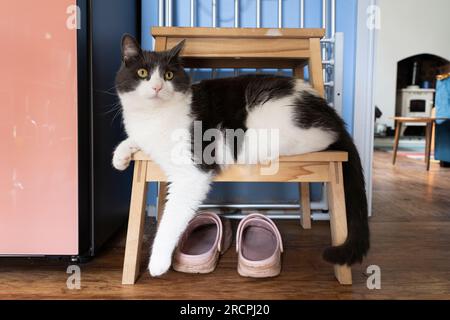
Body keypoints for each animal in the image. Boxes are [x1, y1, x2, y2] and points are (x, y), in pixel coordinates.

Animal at [112, 33, 370, 276]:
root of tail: (328, 110)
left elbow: (172, 217)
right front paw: (120, 155)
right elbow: (136, 139)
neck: (155, 117)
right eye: (143, 73)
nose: (157, 87)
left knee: (319, 137)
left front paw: (157, 262)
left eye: (168, 76)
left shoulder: (193, 171)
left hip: (277, 118)